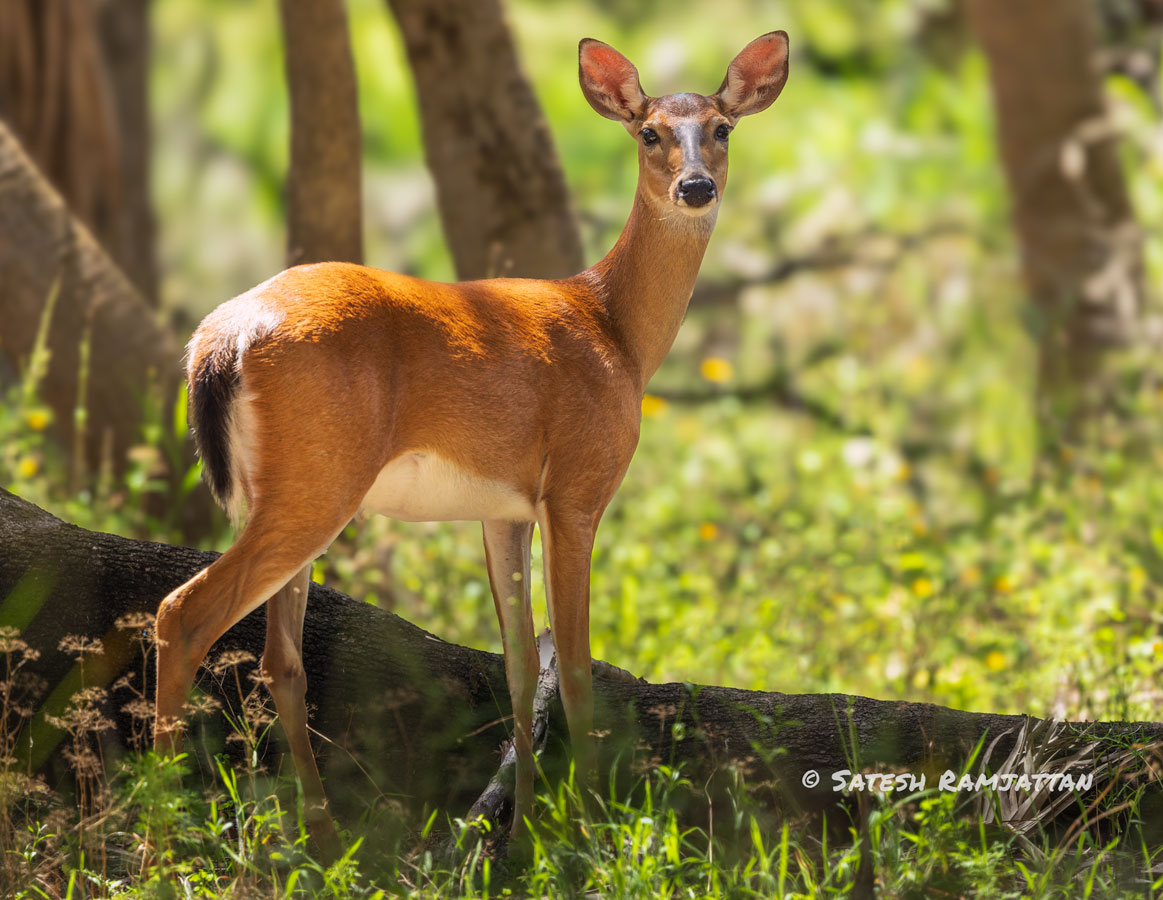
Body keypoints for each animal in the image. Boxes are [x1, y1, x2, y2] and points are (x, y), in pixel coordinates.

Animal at [154, 29, 790, 860]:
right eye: (649, 133)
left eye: (721, 128)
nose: (694, 187)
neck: (614, 331)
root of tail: (218, 338)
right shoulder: (577, 485)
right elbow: (575, 666)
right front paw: (587, 836)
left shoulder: (503, 508)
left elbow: (520, 665)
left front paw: (521, 839)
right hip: (319, 480)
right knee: (184, 613)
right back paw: (159, 830)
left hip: (285, 486)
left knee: (280, 658)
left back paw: (323, 843)